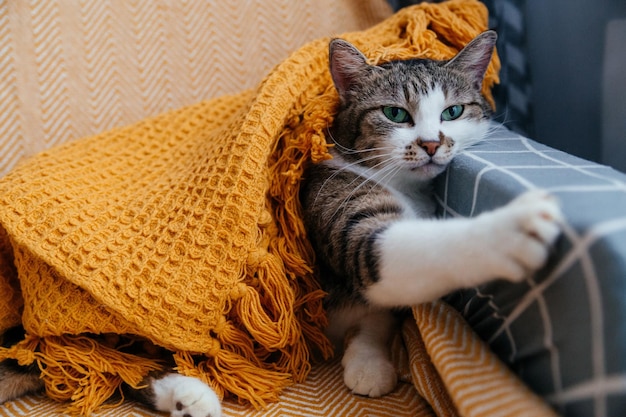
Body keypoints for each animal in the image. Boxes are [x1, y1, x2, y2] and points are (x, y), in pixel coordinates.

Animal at [298, 30, 560, 396]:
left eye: (453, 112)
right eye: (394, 114)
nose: (431, 144)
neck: (405, 186)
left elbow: (377, 318)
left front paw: (367, 361)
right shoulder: (339, 201)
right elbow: (403, 251)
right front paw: (512, 228)